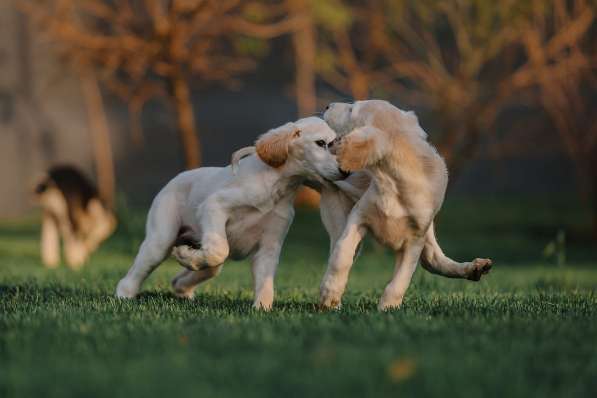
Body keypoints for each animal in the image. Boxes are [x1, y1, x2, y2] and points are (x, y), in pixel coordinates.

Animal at [115, 116, 344, 310]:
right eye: (321, 143)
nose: (346, 170)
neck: (276, 187)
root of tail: (175, 179)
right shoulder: (214, 205)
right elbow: (219, 250)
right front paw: (184, 254)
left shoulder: (269, 245)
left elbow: (265, 282)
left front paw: (262, 308)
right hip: (160, 241)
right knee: (137, 272)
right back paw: (125, 294)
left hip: (203, 262)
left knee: (186, 276)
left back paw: (185, 278)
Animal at [318, 100, 492, 310]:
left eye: (352, 109)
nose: (327, 106)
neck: (393, 184)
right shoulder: (357, 218)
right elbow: (341, 255)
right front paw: (329, 295)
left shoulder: (415, 239)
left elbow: (400, 281)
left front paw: (387, 308)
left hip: (427, 232)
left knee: (433, 260)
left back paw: (475, 268)